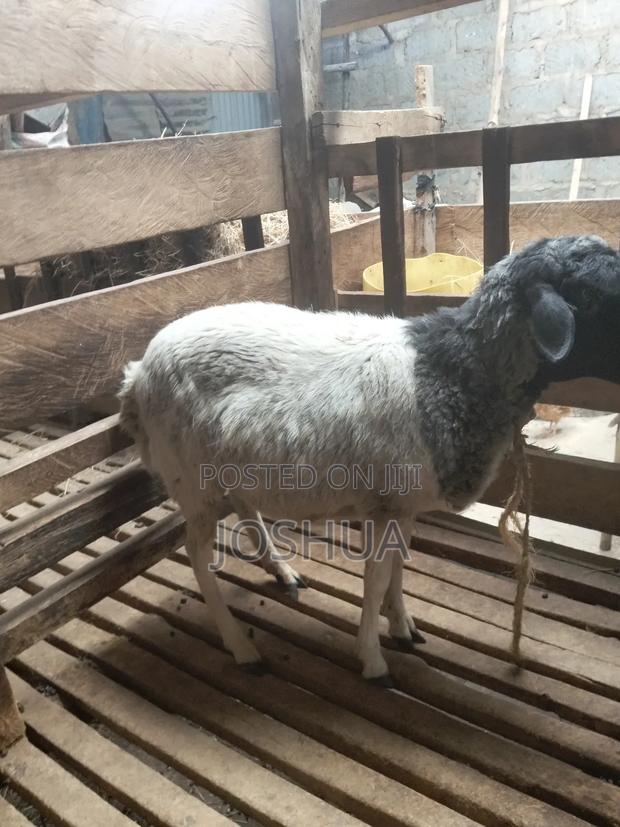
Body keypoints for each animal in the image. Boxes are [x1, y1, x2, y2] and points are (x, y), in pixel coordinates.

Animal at [119, 235, 620, 685]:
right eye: (597, 296)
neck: (452, 374)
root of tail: (138, 373)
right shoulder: (384, 504)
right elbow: (377, 579)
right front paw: (373, 660)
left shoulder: (400, 504)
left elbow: (397, 569)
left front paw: (402, 627)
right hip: (191, 481)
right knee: (197, 554)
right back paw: (242, 648)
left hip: (228, 466)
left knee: (245, 509)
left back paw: (283, 572)